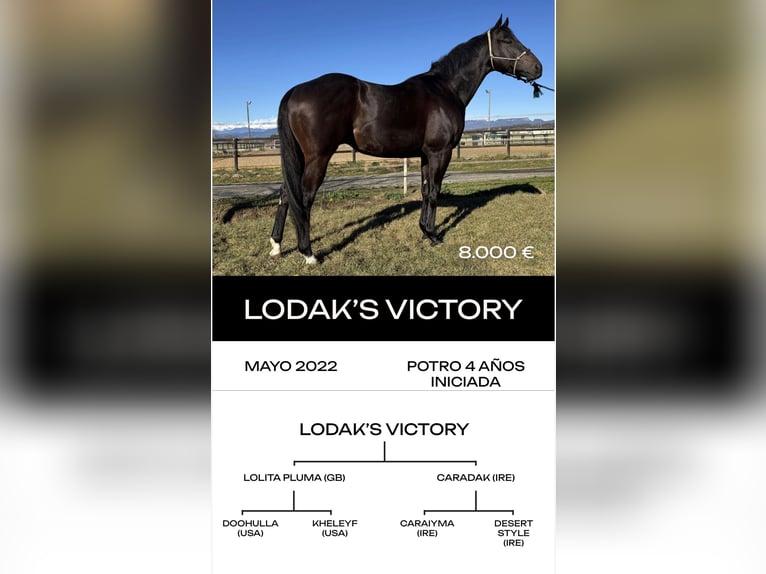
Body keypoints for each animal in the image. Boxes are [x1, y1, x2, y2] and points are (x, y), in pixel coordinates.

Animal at [269, 15, 543, 264]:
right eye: (507, 40)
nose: (538, 68)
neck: (445, 89)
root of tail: (295, 90)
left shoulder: (425, 155)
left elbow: (425, 191)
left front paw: (424, 231)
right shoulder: (440, 152)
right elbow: (434, 191)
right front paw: (434, 235)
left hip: (300, 157)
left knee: (286, 193)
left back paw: (276, 246)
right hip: (318, 157)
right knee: (304, 198)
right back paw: (308, 253)